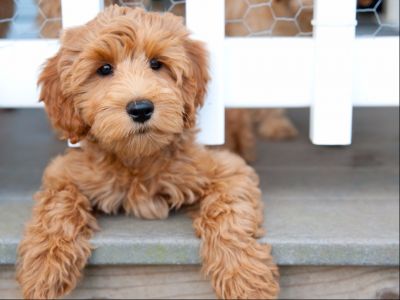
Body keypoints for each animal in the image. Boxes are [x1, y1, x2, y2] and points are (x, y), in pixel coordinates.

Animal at [17, 5, 280, 298]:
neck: (138, 158)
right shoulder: (65, 172)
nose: (141, 108)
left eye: (156, 64)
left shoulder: (227, 169)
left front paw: (243, 276)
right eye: (104, 68)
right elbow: (57, 204)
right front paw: (44, 267)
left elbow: (229, 211)